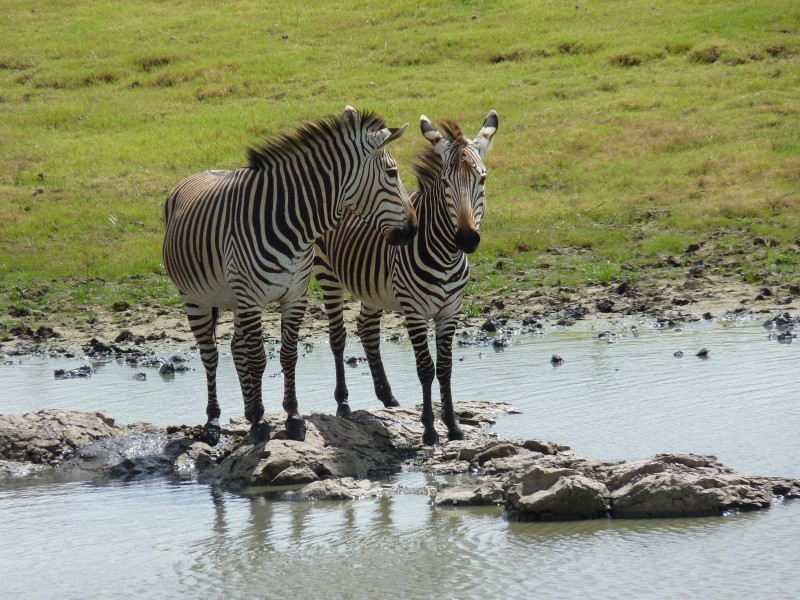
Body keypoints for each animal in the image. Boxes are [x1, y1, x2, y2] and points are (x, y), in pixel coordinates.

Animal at [163, 108, 418, 446]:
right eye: (392, 173)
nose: (413, 230)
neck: (292, 224)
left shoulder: (295, 295)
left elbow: (288, 355)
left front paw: (292, 418)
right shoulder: (252, 299)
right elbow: (258, 358)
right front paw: (260, 424)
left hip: (233, 298)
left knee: (235, 347)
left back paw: (247, 410)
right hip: (197, 299)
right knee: (211, 355)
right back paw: (213, 422)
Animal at [316, 110, 496, 446]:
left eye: (482, 179)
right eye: (447, 182)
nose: (467, 239)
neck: (446, 254)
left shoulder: (450, 310)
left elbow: (446, 368)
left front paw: (453, 426)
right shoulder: (415, 310)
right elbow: (425, 368)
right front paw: (429, 430)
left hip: (373, 286)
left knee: (367, 329)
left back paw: (387, 397)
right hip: (326, 273)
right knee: (337, 336)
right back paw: (343, 402)